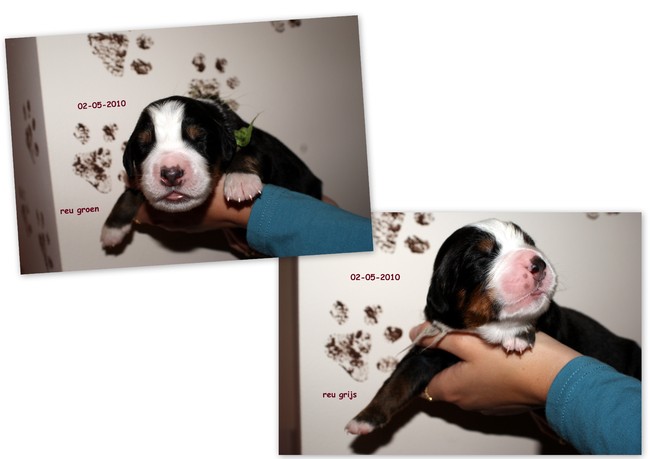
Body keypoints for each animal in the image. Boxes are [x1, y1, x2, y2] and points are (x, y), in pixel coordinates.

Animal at [100, 95, 322, 249]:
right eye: (144, 145)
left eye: (200, 140)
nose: (171, 174)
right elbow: (130, 192)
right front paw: (112, 228)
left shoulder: (256, 142)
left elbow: (247, 152)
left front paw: (241, 180)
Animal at [346, 218, 641, 435]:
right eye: (482, 258)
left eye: (530, 243)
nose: (538, 262)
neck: (481, 329)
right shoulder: (431, 348)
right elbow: (398, 380)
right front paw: (364, 418)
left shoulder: (552, 322)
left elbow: (529, 319)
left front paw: (517, 332)